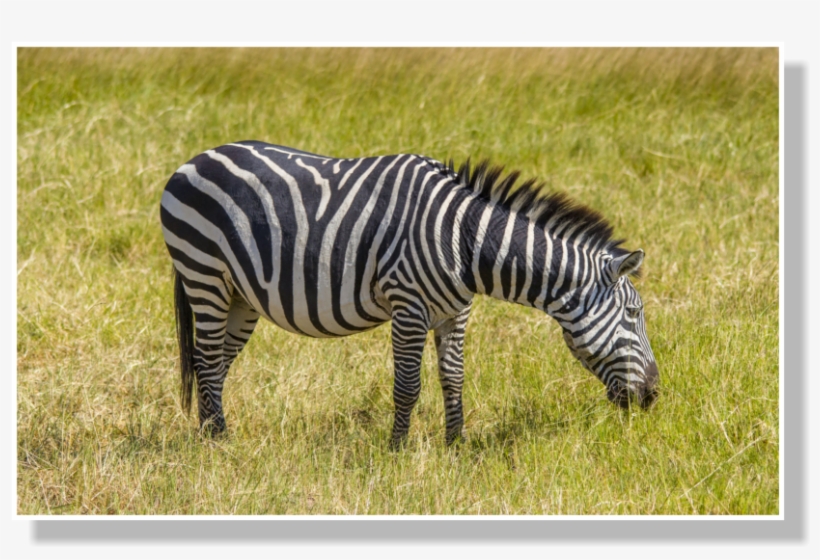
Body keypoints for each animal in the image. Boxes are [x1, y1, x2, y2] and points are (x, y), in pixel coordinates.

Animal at [160, 141, 659, 447]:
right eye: (634, 314)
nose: (654, 395)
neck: (466, 243)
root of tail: (194, 159)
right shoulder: (408, 306)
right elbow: (407, 384)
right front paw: (397, 450)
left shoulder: (456, 311)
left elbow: (453, 377)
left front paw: (456, 445)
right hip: (204, 274)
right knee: (207, 359)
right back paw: (218, 441)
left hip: (240, 296)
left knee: (213, 365)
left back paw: (211, 434)